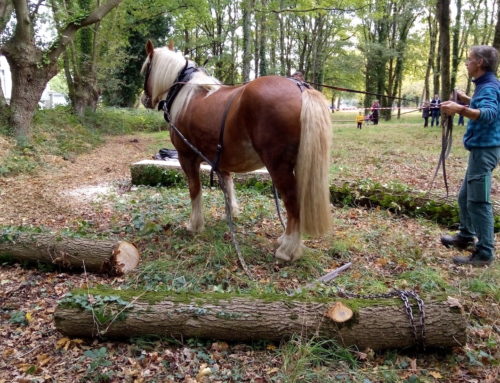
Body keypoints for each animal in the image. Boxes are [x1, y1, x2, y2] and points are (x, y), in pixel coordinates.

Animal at [141, 41, 332, 264]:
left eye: (145, 70)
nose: (144, 99)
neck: (186, 95)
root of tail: (299, 87)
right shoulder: (221, 158)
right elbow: (227, 185)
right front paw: (231, 214)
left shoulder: (186, 157)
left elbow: (194, 190)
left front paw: (195, 224)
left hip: (279, 167)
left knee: (293, 202)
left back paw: (288, 248)